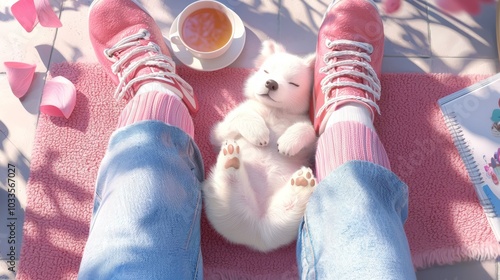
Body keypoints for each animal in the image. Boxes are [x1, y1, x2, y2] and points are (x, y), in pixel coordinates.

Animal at [202, 40, 316, 252]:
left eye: (293, 83)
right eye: (266, 71)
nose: (271, 83)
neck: (274, 110)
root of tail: (258, 234)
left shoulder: (309, 147)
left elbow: (308, 129)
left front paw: (288, 141)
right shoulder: (219, 132)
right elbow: (242, 115)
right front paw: (258, 131)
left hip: (285, 218)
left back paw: (301, 184)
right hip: (222, 199)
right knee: (229, 182)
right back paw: (230, 159)